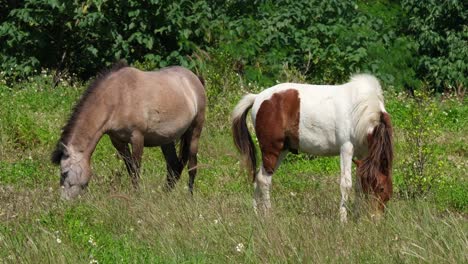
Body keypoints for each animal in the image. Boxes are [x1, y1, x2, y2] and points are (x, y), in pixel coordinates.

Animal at [51, 61, 205, 198]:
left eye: (64, 173)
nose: (64, 202)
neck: (118, 98)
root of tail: (195, 79)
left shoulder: (137, 138)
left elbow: (136, 170)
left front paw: (137, 197)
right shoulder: (118, 141)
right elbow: (130, 169)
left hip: (194, 132)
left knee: (192, 166)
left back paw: (189, 197)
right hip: (166, 140)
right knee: (173, 166)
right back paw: (164, 195)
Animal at [232, 75, 394, 223]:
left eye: (386, 189)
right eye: (380, 188)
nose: (376, 218)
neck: (362, 111)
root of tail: (257, 98)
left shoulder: (362, 154)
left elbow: (358, 185)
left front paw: (357, 217)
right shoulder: (346, 149)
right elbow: (346, 184)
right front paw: (343, 220)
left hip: (281, 151)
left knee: (259, 177)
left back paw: (256, 213)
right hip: (272, 149)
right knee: (264, 180)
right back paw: (268, 214)